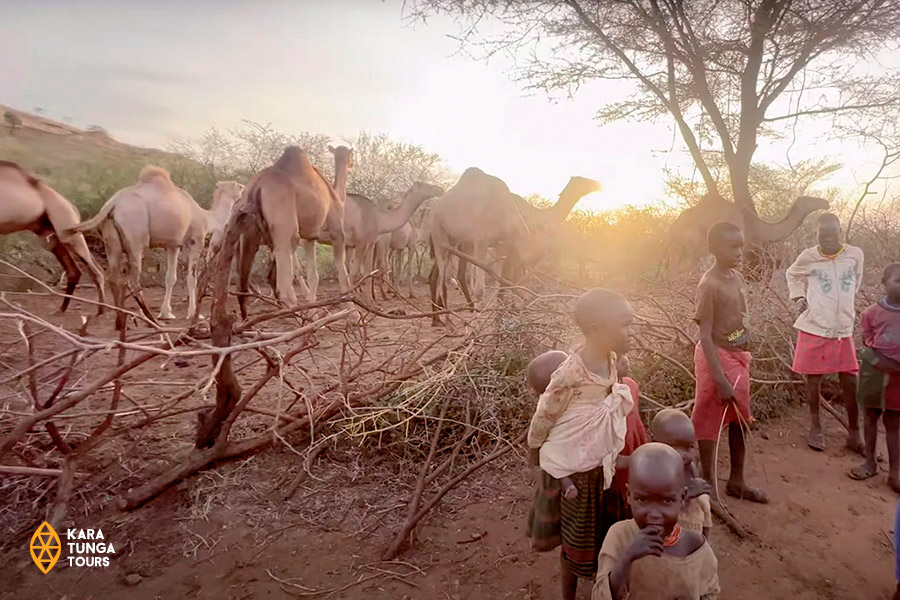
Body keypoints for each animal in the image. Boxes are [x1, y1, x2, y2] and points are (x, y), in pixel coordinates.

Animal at [0, 162, 105, 312]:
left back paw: (102, 311)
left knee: (97, 271)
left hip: (67, 230)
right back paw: (61, 309)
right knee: (74, 271)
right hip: (50, 238)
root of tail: (72, 207)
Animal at [68, 166, 243, 326]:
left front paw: (166, 313)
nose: (243, 186)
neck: (207, 217)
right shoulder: (195, 240)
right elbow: (191, 278)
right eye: (236, 185)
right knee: (133, 280)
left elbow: (170, 278)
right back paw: (149, 318)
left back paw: (121, 317)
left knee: (113, 276)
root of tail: (112, 203)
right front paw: (194, 314)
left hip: (110, 237)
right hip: (135, 237)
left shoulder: (173, 245)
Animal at [236, 145, 352, 316]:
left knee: (244, 284)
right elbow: (342, 273)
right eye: (351, 155)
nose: (352, 164)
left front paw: (313, 311)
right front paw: (353, 312)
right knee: (282, 285)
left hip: (248, 232)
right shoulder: (337, 231)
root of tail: (257, 187)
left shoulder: (310, 237)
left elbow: (313, 276)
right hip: (285, 230)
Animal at [668, 192, 828, 276]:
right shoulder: (742, 249)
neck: (758, 226)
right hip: (690, 246)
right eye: (809, 199)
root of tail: (673, 227)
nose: (825, 202)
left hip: (682, 249)